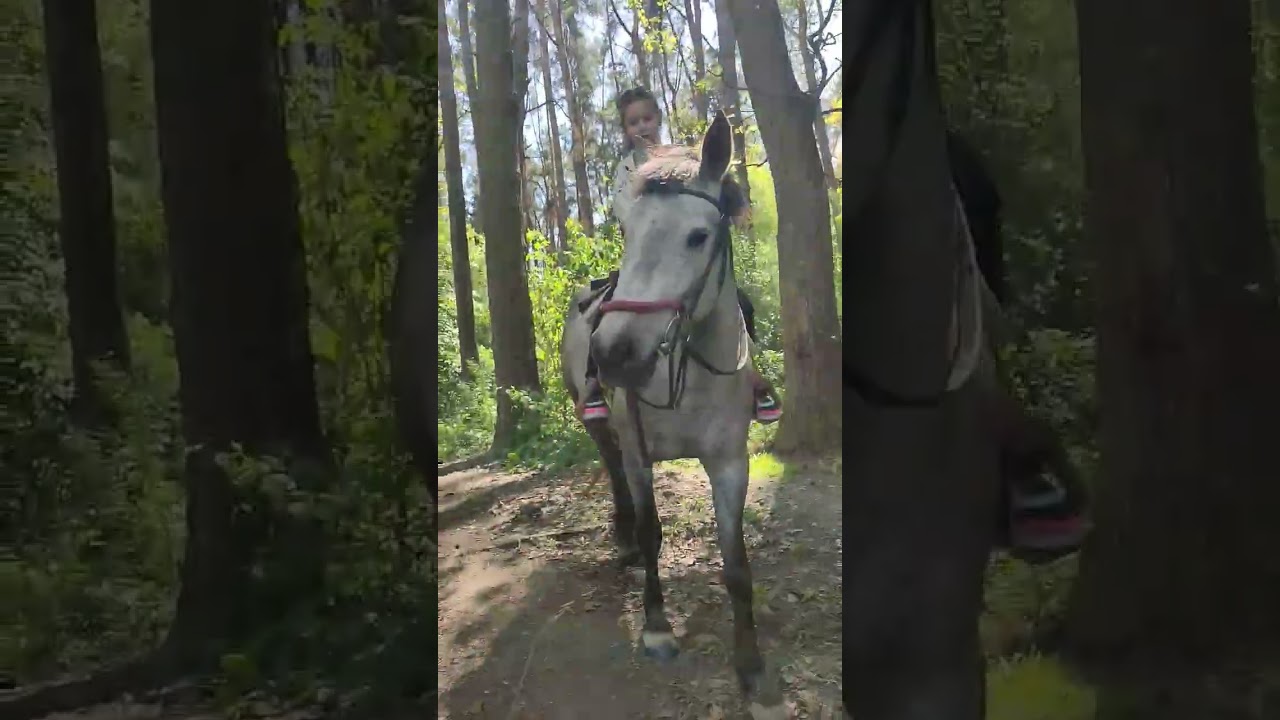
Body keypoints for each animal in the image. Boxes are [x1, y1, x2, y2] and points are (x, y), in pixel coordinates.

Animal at [560, 112, 786, 719]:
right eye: (628, 233)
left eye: (698, 236)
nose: (615, 354)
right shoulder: (639, 452)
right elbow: (653, 529)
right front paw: (658, 626)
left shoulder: (730, 463)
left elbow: (736, 563)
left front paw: (751, 665)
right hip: (597, 424)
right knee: (611, 471)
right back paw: (622, 541)